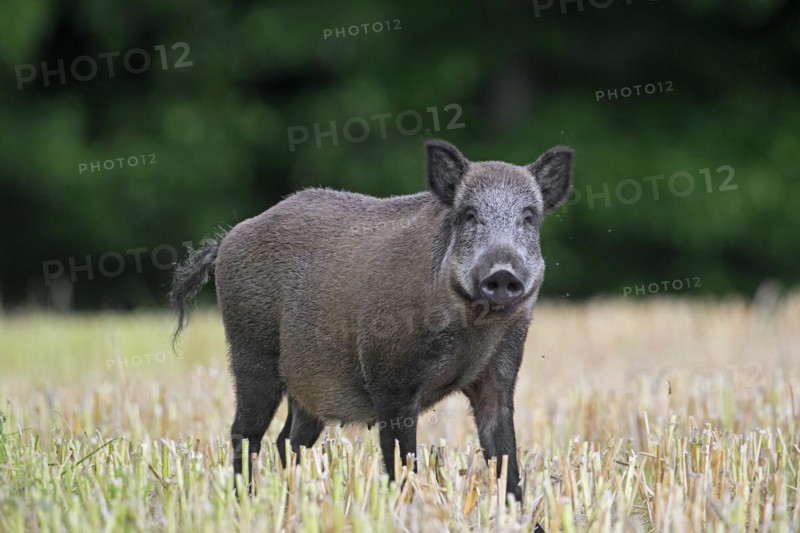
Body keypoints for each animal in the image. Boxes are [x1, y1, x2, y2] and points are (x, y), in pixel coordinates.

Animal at [170, 139, 573, 500]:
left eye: (529, 217)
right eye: (470, 215)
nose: (502, 272)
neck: (473, 327)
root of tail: (229, 238)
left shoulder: (499, 375)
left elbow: (505, 458)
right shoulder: (390, 382)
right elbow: (402, 463)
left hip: (308, 384)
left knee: (289, 441)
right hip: (251, 353)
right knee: (244, 433)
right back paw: (246, 500)